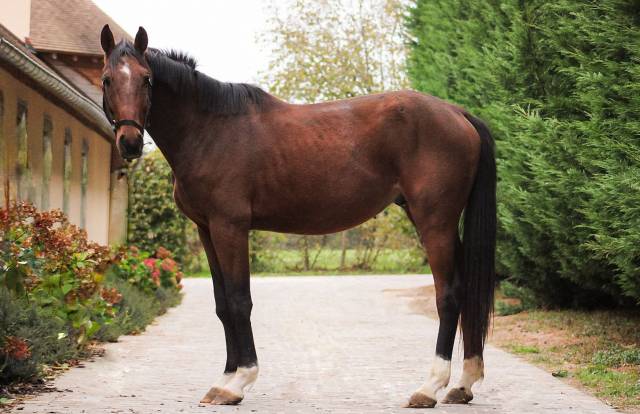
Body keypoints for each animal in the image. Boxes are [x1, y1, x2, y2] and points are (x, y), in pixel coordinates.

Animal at [99, 25, 496, 408]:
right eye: (107, 79)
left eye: (146, 79)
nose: (130, 143)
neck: (209, 129)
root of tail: (458, 113)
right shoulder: (206, 229)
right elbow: (223, 304)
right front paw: (224, 379)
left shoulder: (231, 227)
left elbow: (240, 300)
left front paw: (239, 382)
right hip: (434, 221)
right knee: (465, 290)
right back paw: (463, 384)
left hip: (435, 222)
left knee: (448, 295)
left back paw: (429, 388)